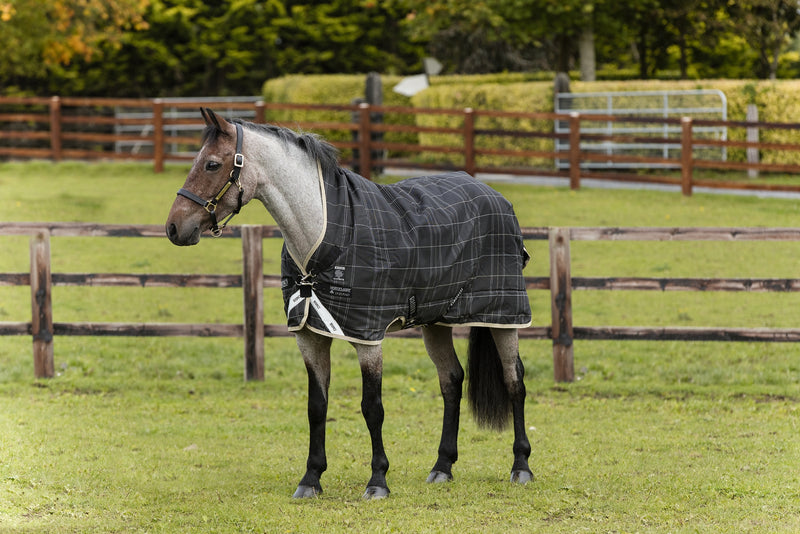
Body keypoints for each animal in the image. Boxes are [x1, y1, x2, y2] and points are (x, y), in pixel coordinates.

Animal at [165, 108, 534, 500]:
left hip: (504, 316)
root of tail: (494, 195)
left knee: (514, 380)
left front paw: (378, 481)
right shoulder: (309, 336)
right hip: (436, 321)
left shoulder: (367, 336)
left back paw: (521, 466)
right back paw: (442, 466)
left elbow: (372, 407)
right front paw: (311, 479)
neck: (323, 235)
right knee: (451, 380)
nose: (174, 227)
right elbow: (317, 406)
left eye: (212, 164)